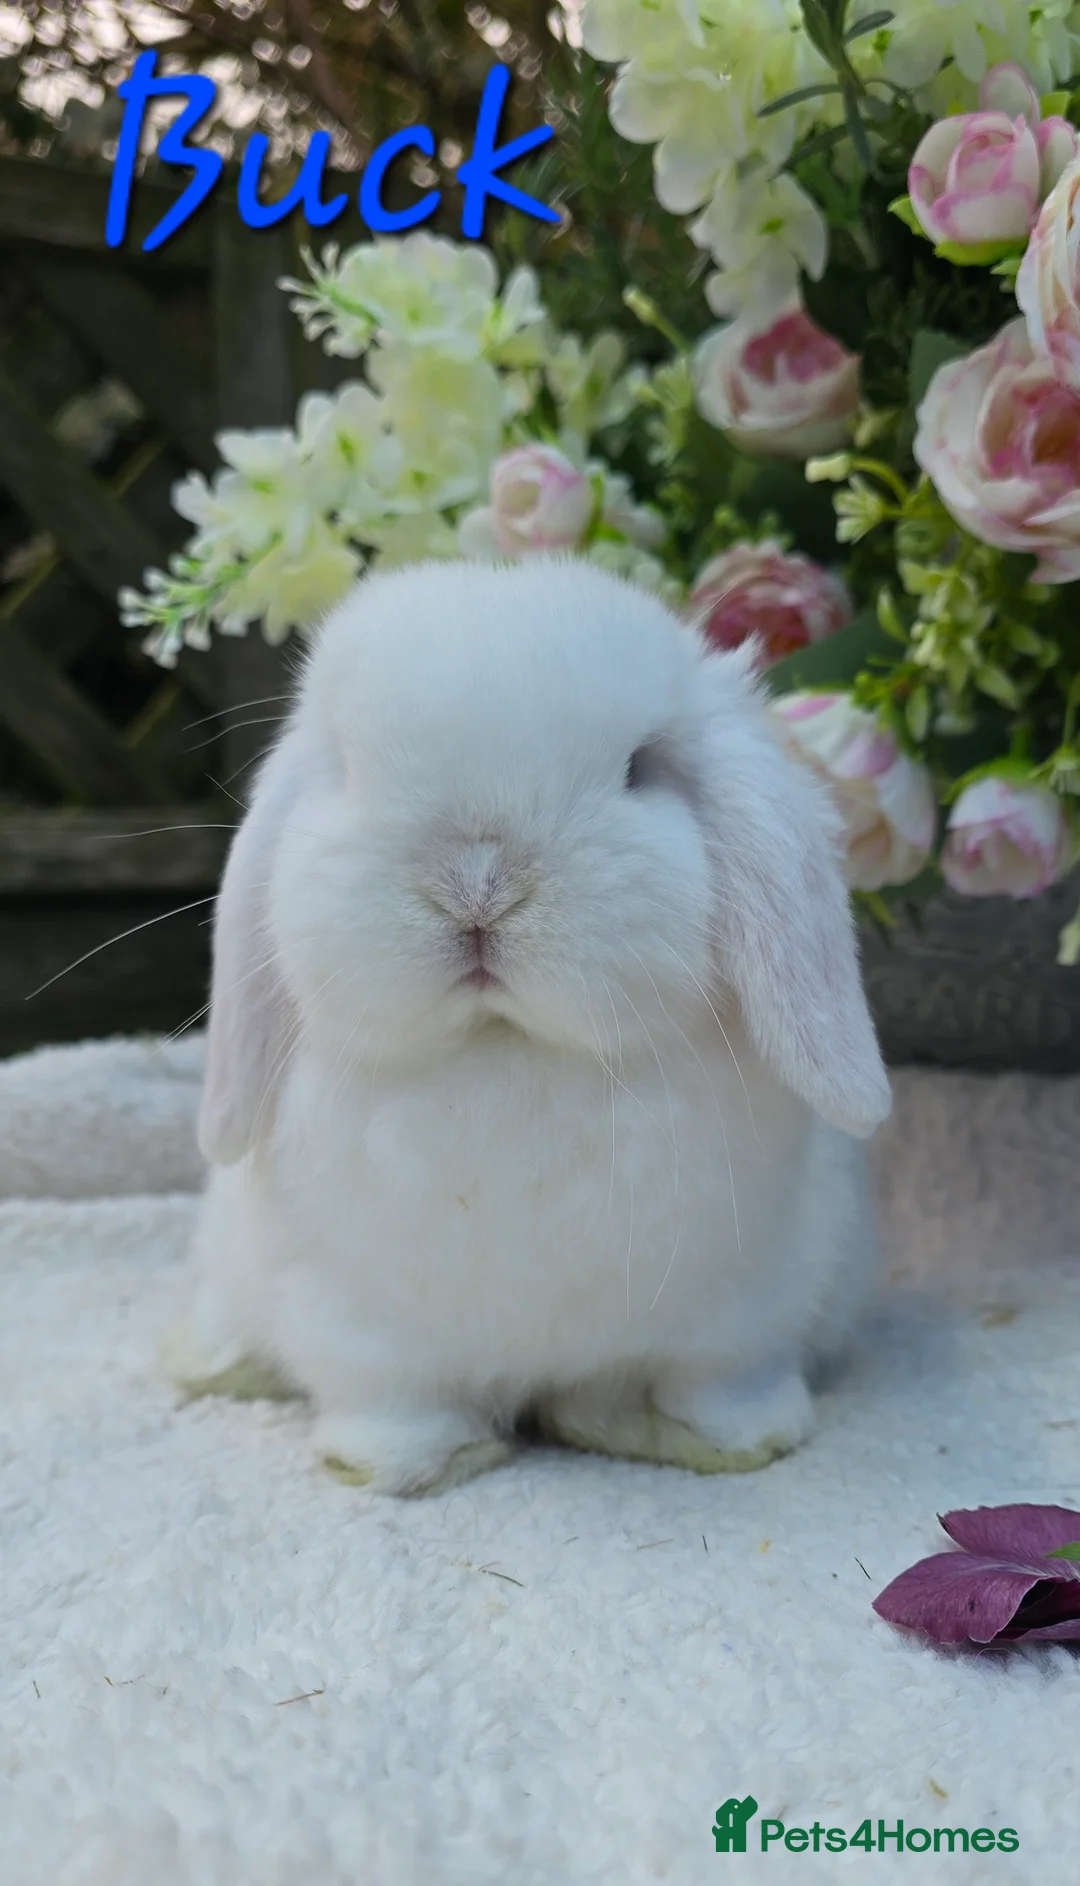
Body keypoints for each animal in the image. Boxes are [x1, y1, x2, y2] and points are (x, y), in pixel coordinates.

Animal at [166, 555, 891, 1496]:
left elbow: (721, 1382)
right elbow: (394, 1398)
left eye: (639, 768)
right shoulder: (360, 1324)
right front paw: (406, 1463)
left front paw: (739, 1441)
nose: (477, 884)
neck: (509, 1053)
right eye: (349, 772)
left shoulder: (743, 1307)